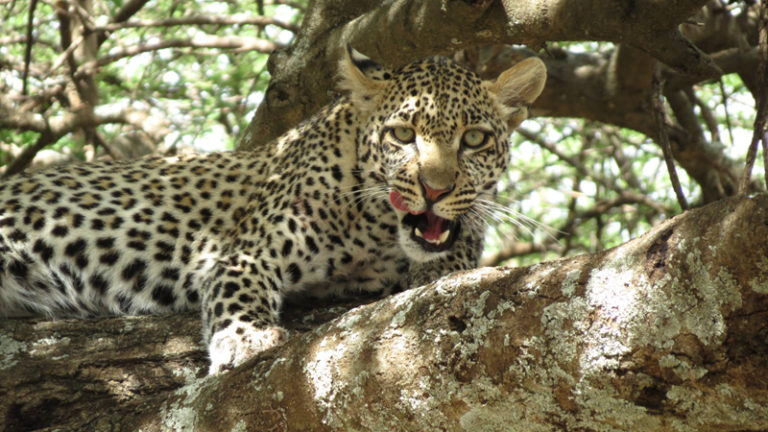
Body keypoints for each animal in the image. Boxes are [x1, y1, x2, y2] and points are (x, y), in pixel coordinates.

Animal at [0, 45, 544, 372]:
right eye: (402, 134)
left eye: (474, 139)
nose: (433, 189)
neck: (377, 230)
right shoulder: (245, 253)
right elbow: (238, 291)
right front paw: (247, 340)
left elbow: (457, 246)